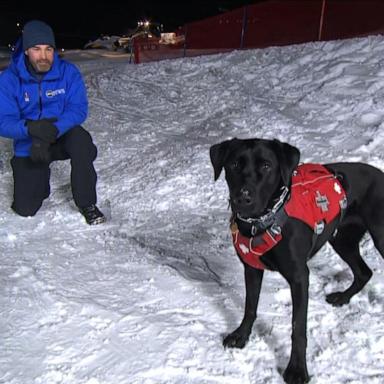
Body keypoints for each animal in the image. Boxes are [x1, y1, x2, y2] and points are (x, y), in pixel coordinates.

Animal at [210, 138, 384, 384]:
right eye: (234, 164)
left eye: (266, 166)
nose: (243, 197)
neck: (263, 221)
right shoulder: (251, 269)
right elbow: (250, 307)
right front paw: (241, 336)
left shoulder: (299, 277)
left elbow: (297, 328)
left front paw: (297, 369)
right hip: (342, 239)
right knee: (364, 272)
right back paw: (342, 297)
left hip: (379, 236)